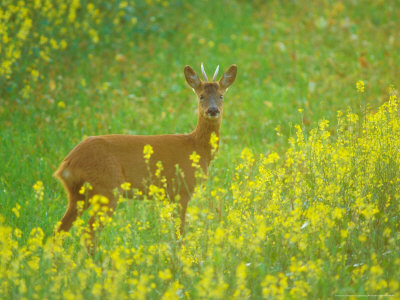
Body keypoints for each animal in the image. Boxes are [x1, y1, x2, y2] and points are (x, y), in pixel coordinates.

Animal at [55, 63, 238, 244]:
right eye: (201, 96)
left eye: (221, 96)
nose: (213, 110)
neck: (198, 148)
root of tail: (66, 164)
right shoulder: (182, 190)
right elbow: (180, 233)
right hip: (106, 188)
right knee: (89, 232)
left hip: (78, 194)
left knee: (60, 229)